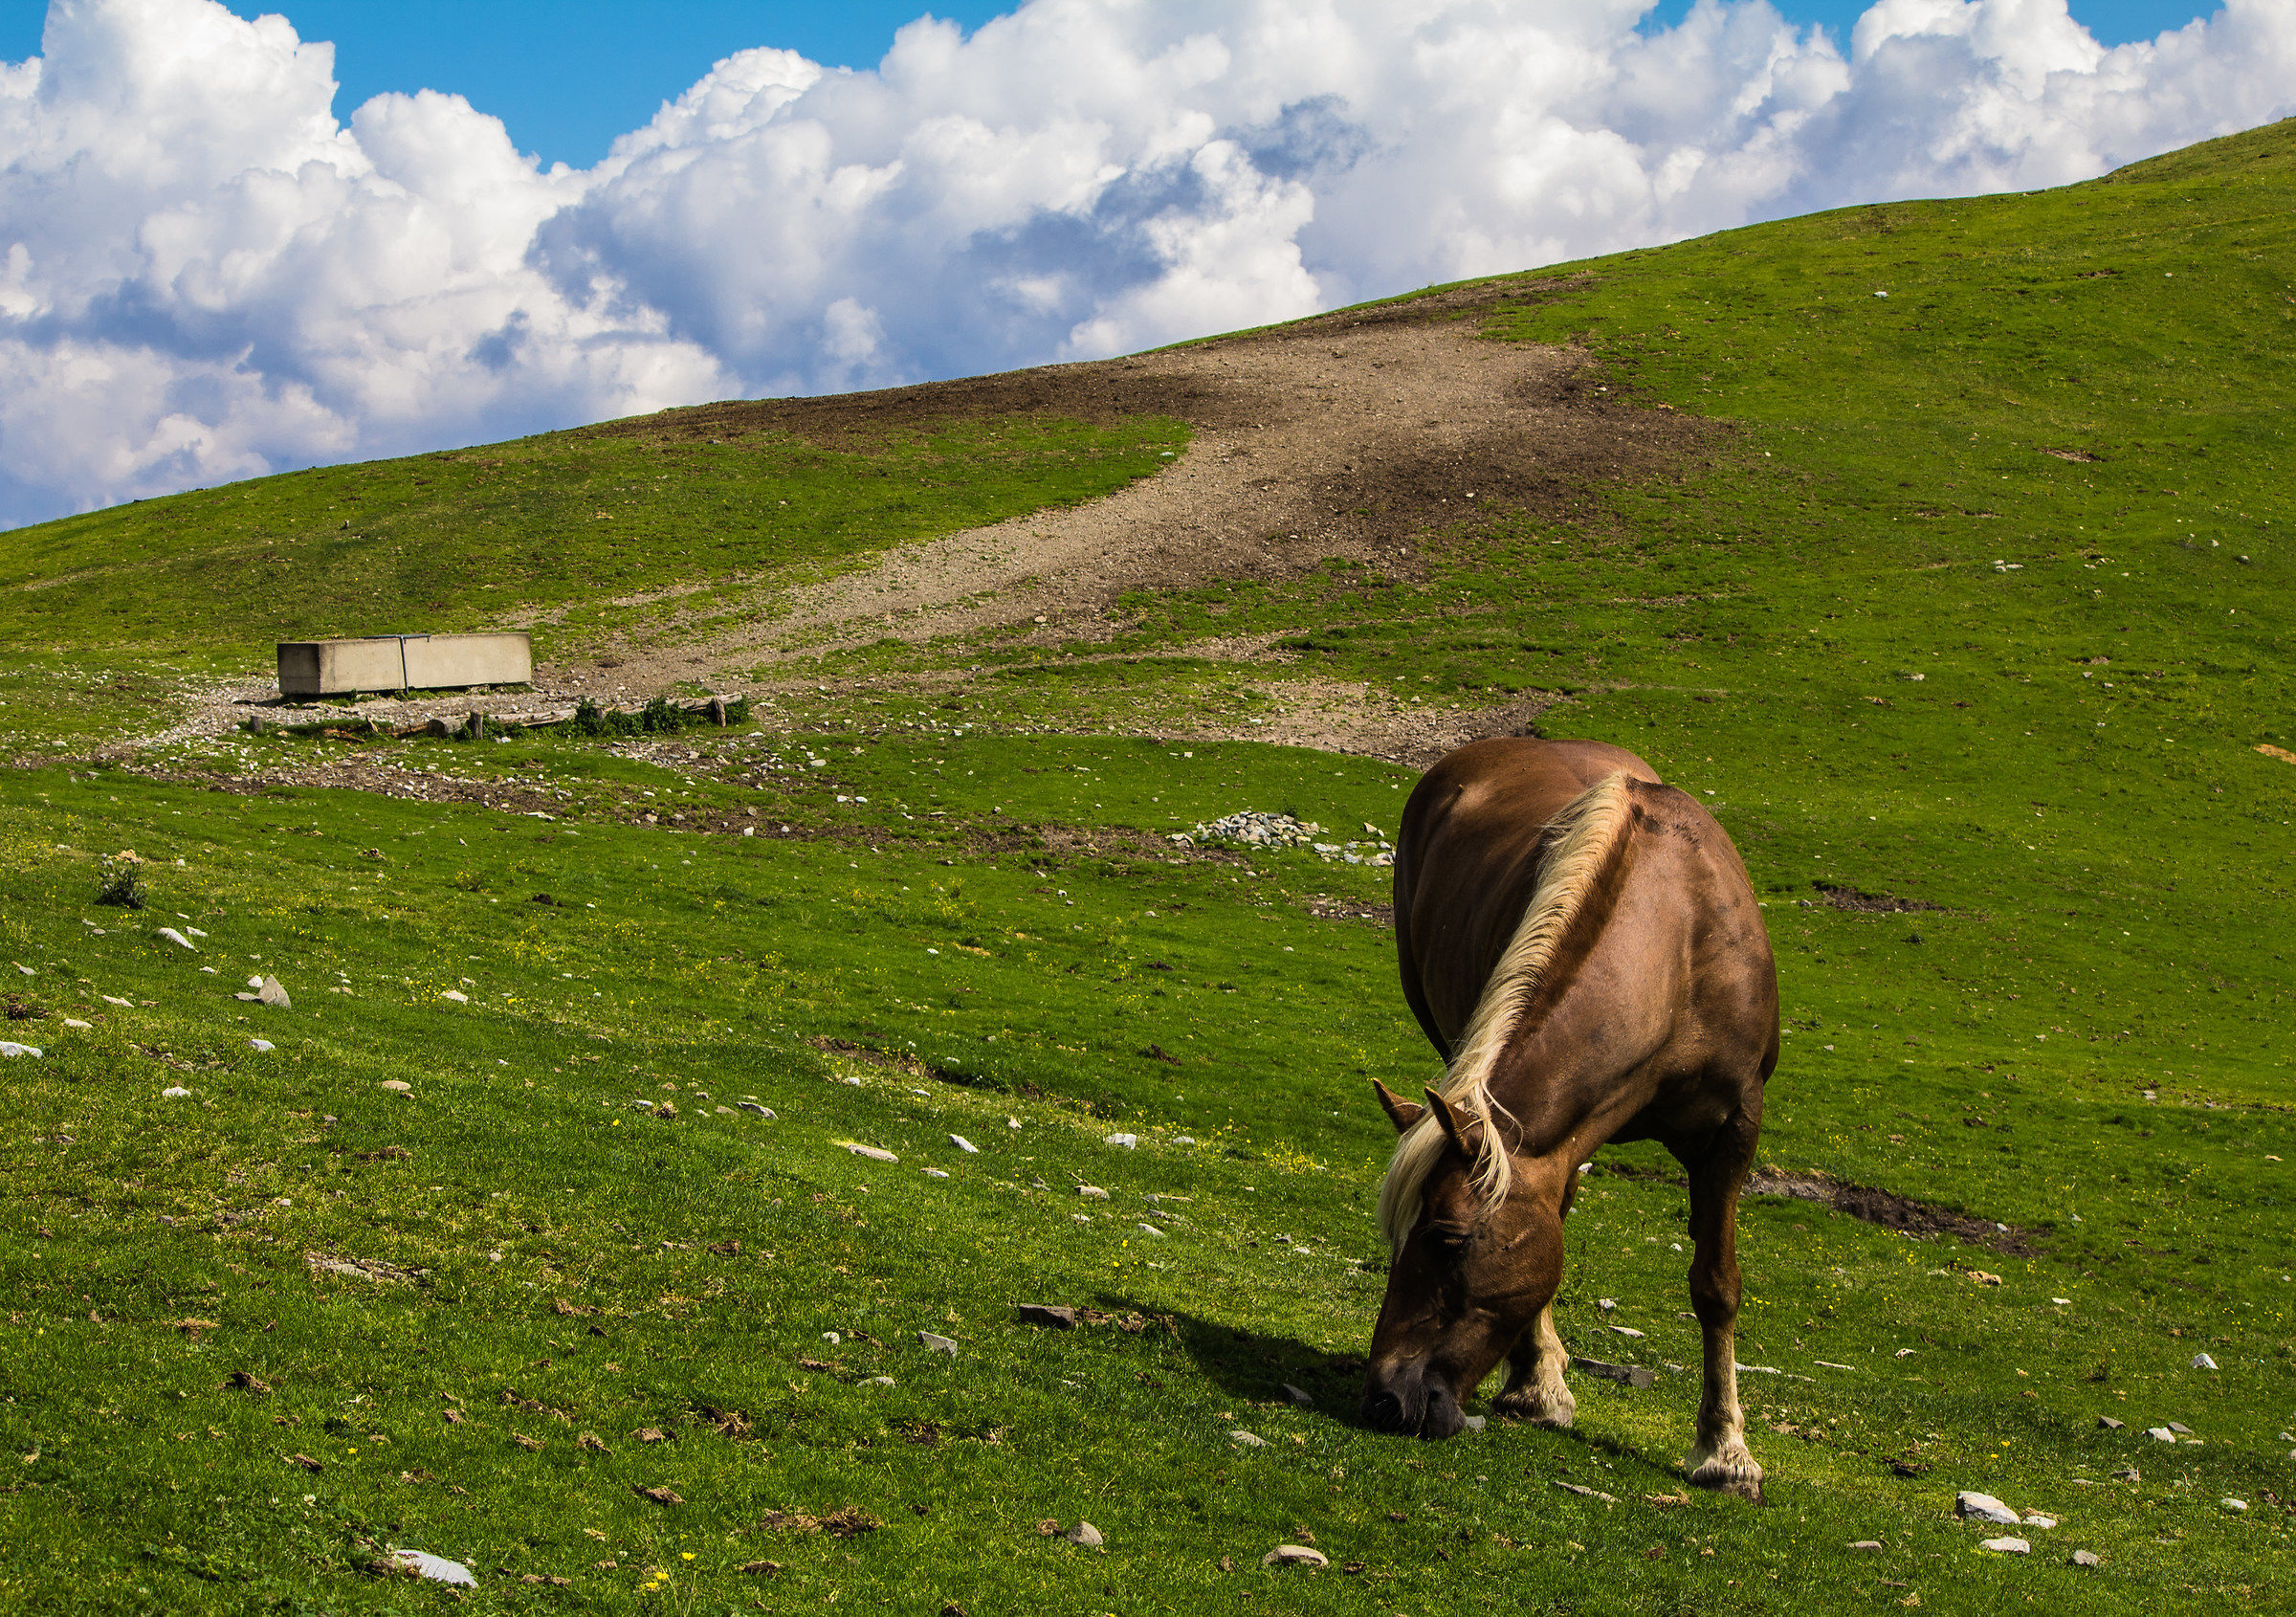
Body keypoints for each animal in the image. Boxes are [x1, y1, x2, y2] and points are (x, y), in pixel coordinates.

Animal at [1358, 736, 1779, 1500]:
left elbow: (1716, 1286)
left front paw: (1725, 1451)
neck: (1678, 947)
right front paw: (1538, 1384)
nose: (1385, 1397)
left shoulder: (1736, 1129)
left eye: (1449, 1239)